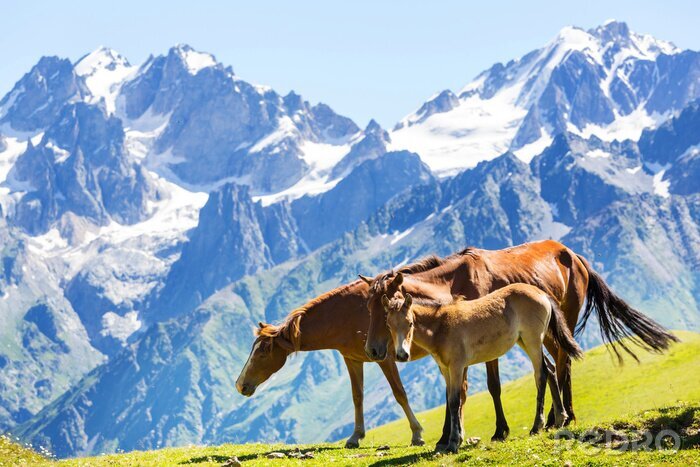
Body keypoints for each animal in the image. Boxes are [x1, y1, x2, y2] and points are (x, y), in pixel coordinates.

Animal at [232, 280, 426, 448]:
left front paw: (417, 434)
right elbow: (357, 397)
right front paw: (355, 436)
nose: (240, 385)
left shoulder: (384, 358)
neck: (349, 315)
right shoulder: (352, 360)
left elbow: (399, 393)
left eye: (262, 353)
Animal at [382, 284, 584, 452]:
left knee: (540, 374)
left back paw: (537, 426)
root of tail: (541, 293)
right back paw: (560, 418)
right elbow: (451, 400)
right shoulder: (445, 370)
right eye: (389, 325)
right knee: (550, 369)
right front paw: (453, 440)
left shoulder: (457, 366)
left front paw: (453, 443)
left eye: (410, 323)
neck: (441, 326)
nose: (402, 355)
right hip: (523, 341)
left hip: (532, 340)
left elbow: (454, 401)